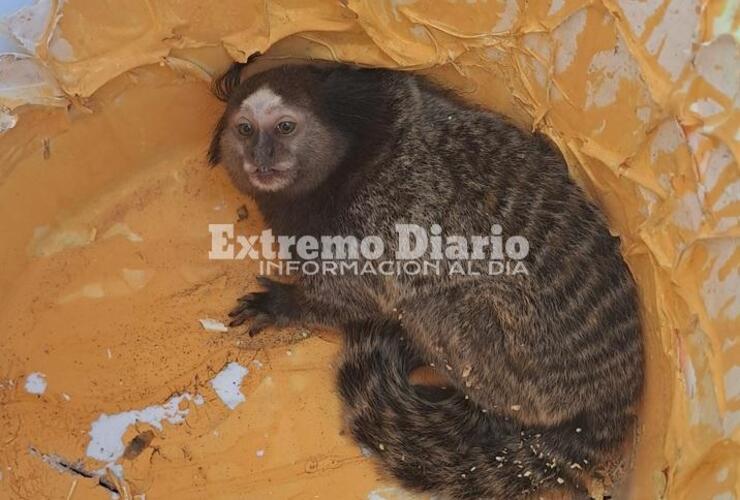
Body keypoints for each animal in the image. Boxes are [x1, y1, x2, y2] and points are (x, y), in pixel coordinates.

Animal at [208, 62, 644, 499]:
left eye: (284, 127)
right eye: (245, 130)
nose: (261, 157)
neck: (349, 162)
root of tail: (615, 392)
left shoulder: (368, 224)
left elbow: (354, 298)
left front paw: (284, 305)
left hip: (521, 369)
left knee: (435, 307)